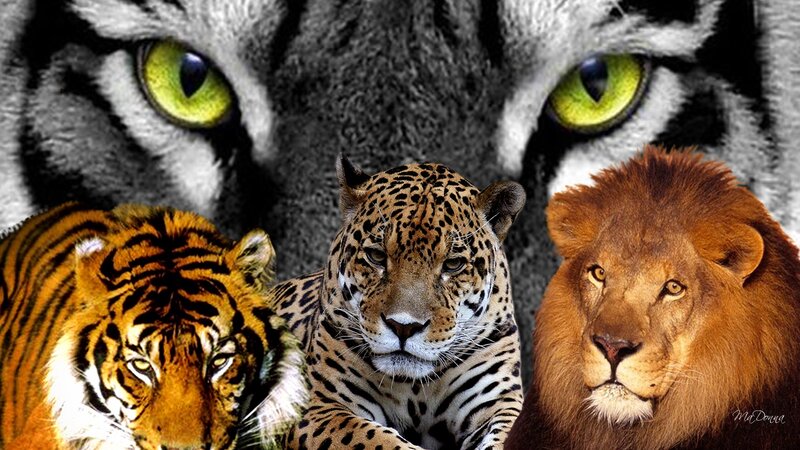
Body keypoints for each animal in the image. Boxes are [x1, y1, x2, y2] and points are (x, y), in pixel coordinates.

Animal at [272, 155, 526, 449]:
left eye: (453, 264)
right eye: (377, 256)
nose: (404, 327)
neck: (413, 387)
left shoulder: (500, 403)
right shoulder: (319, 408)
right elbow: (378, 439)